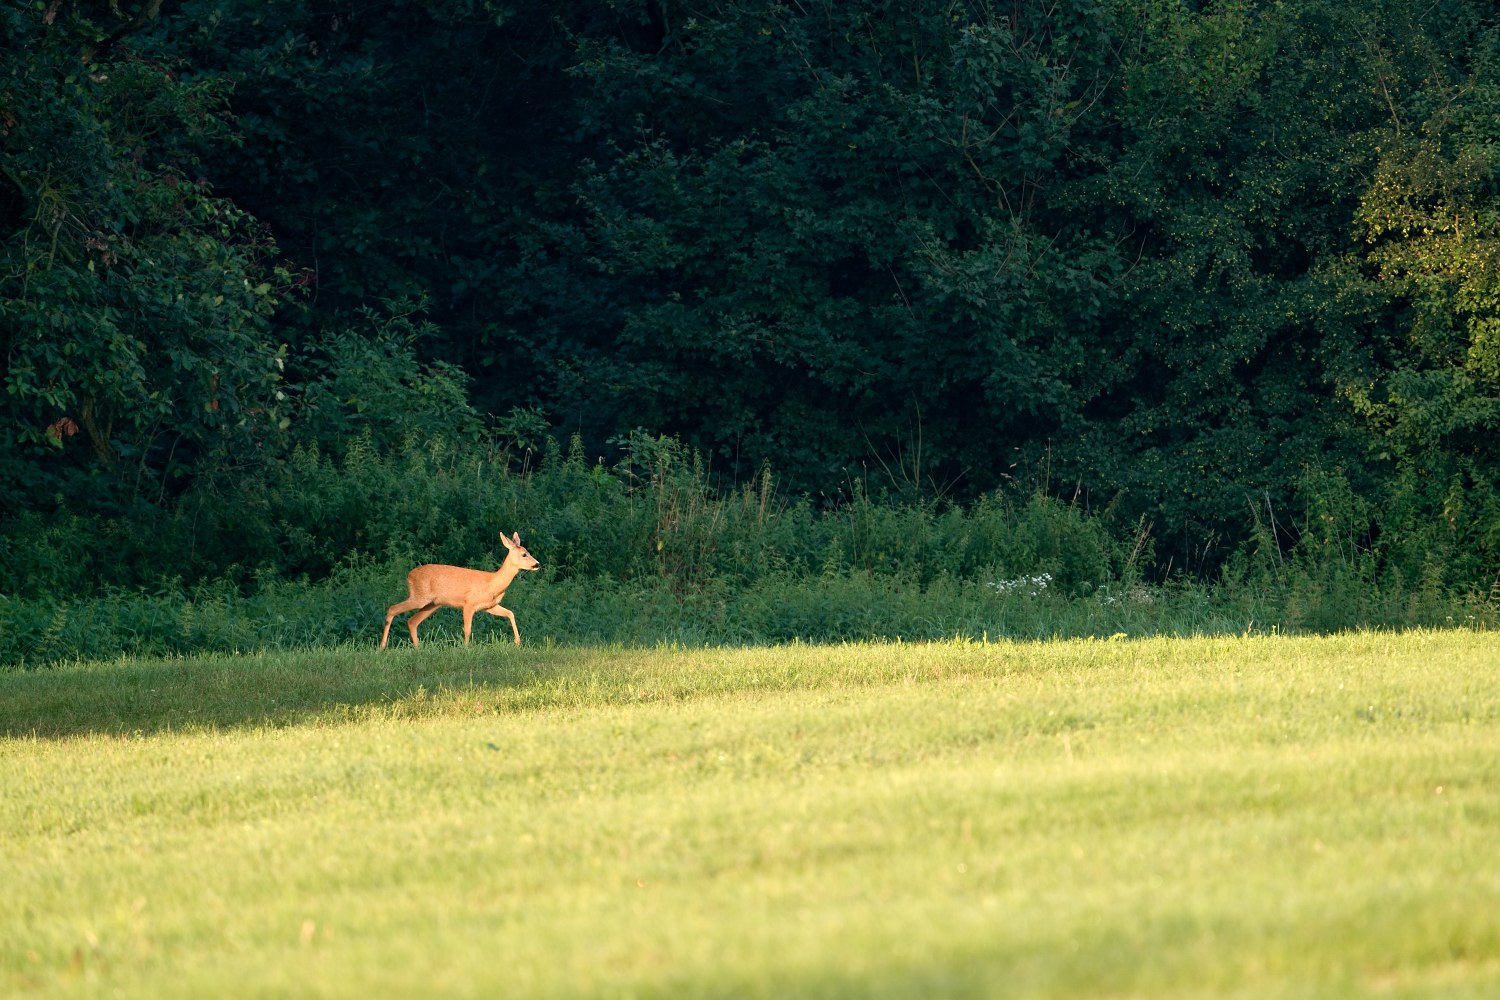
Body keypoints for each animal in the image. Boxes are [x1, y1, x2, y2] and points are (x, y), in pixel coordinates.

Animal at [379, 532, 541, 649]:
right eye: (524, 554)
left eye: (528, 552)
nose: (537, 564)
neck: (492, 583)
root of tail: (409, 575)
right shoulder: (468, 604)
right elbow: (467, 629)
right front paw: (466, 649)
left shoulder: (489, 606)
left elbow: (510, 613)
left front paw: (518, 642)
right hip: (420, 597)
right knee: (392, 609)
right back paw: (382, 647)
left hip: (433, 604)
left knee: (412, 621)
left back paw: (417, 649)